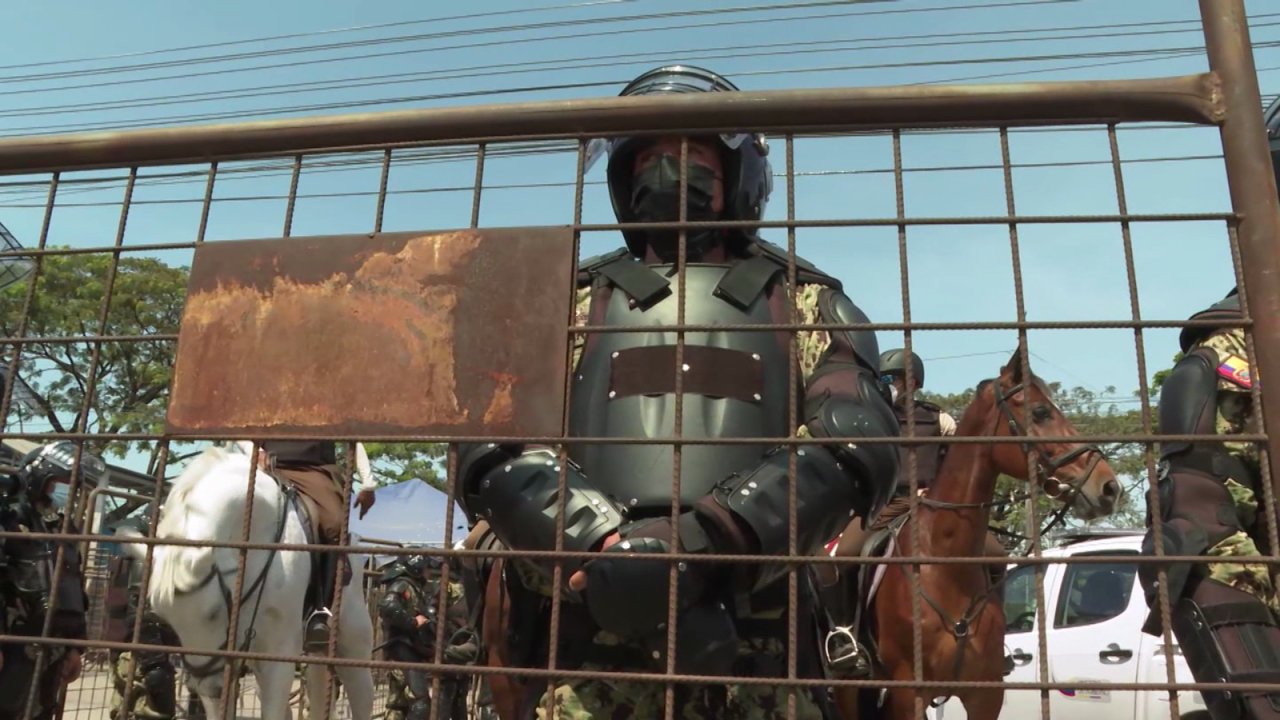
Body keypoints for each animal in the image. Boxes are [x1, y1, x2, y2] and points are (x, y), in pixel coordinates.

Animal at [115, 443, 376, 717]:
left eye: (214, 612)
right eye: (165, 618)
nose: (211, 687)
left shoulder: (278, 652)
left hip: (353, 642)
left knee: (361, 693)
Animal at [829, 348, 1121, 717]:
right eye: (1041, 412)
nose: (1109, 487)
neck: (944, 567)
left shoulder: (985, 695)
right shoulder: (908, 694)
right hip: (849, 687)